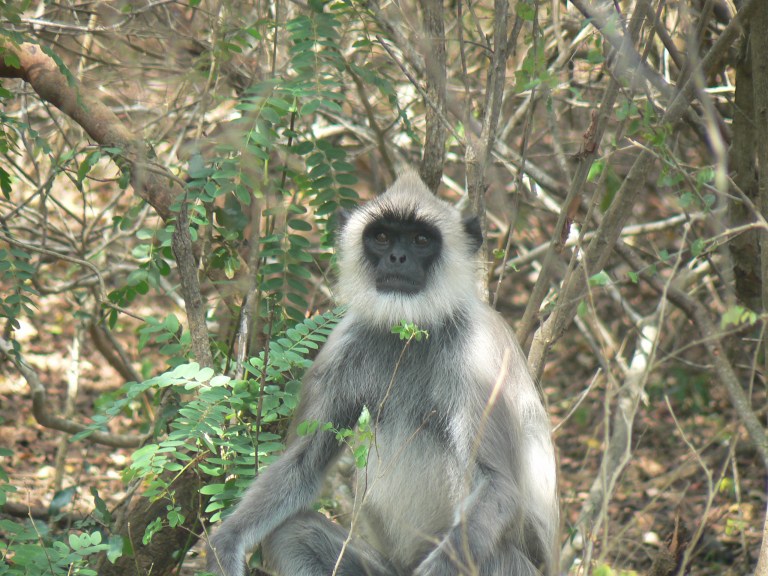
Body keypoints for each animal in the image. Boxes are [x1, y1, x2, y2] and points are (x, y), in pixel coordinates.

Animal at [206, 169, 558, 576]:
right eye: (382, 237)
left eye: (421, 240)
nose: (397, 257)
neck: (413, 330)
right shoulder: (343, 345)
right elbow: (303, 465)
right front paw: (225, 542)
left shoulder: (480, 356)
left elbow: (499, 487)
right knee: (291, 532)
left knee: (493, 553)